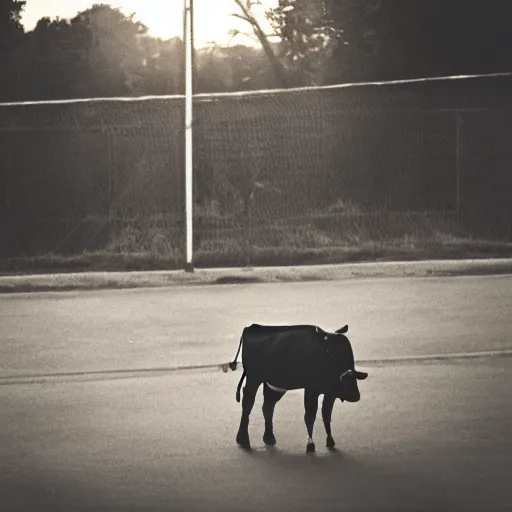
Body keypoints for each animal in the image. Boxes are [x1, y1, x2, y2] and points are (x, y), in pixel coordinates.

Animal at [224, 324, 368, 452]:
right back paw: (243, 440)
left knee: (268, 406)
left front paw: (330, 441)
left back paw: (269, 438)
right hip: (253, 379)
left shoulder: (330, 393)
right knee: (248, 404)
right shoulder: (311, 390)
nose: (354, 396)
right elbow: (310, 416)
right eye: (329, 352)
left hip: (273, 386)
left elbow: (326, 414)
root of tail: (251, 328)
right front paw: (310, 445)